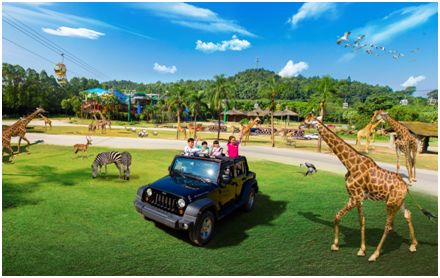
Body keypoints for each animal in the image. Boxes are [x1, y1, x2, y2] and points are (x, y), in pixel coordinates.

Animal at [304, 114, 418, 262]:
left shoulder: (356, 196)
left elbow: (349, 218)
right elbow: (350, 218)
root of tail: (406, 187)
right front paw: (346, 247)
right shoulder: (354, 196)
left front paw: (357, 249)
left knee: (389, 226)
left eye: (307, 120)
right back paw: (413, 245)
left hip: (391, 203)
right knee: (408, 215)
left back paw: (375, 254)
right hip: (399, 201)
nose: (300, 125)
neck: (350, 164)